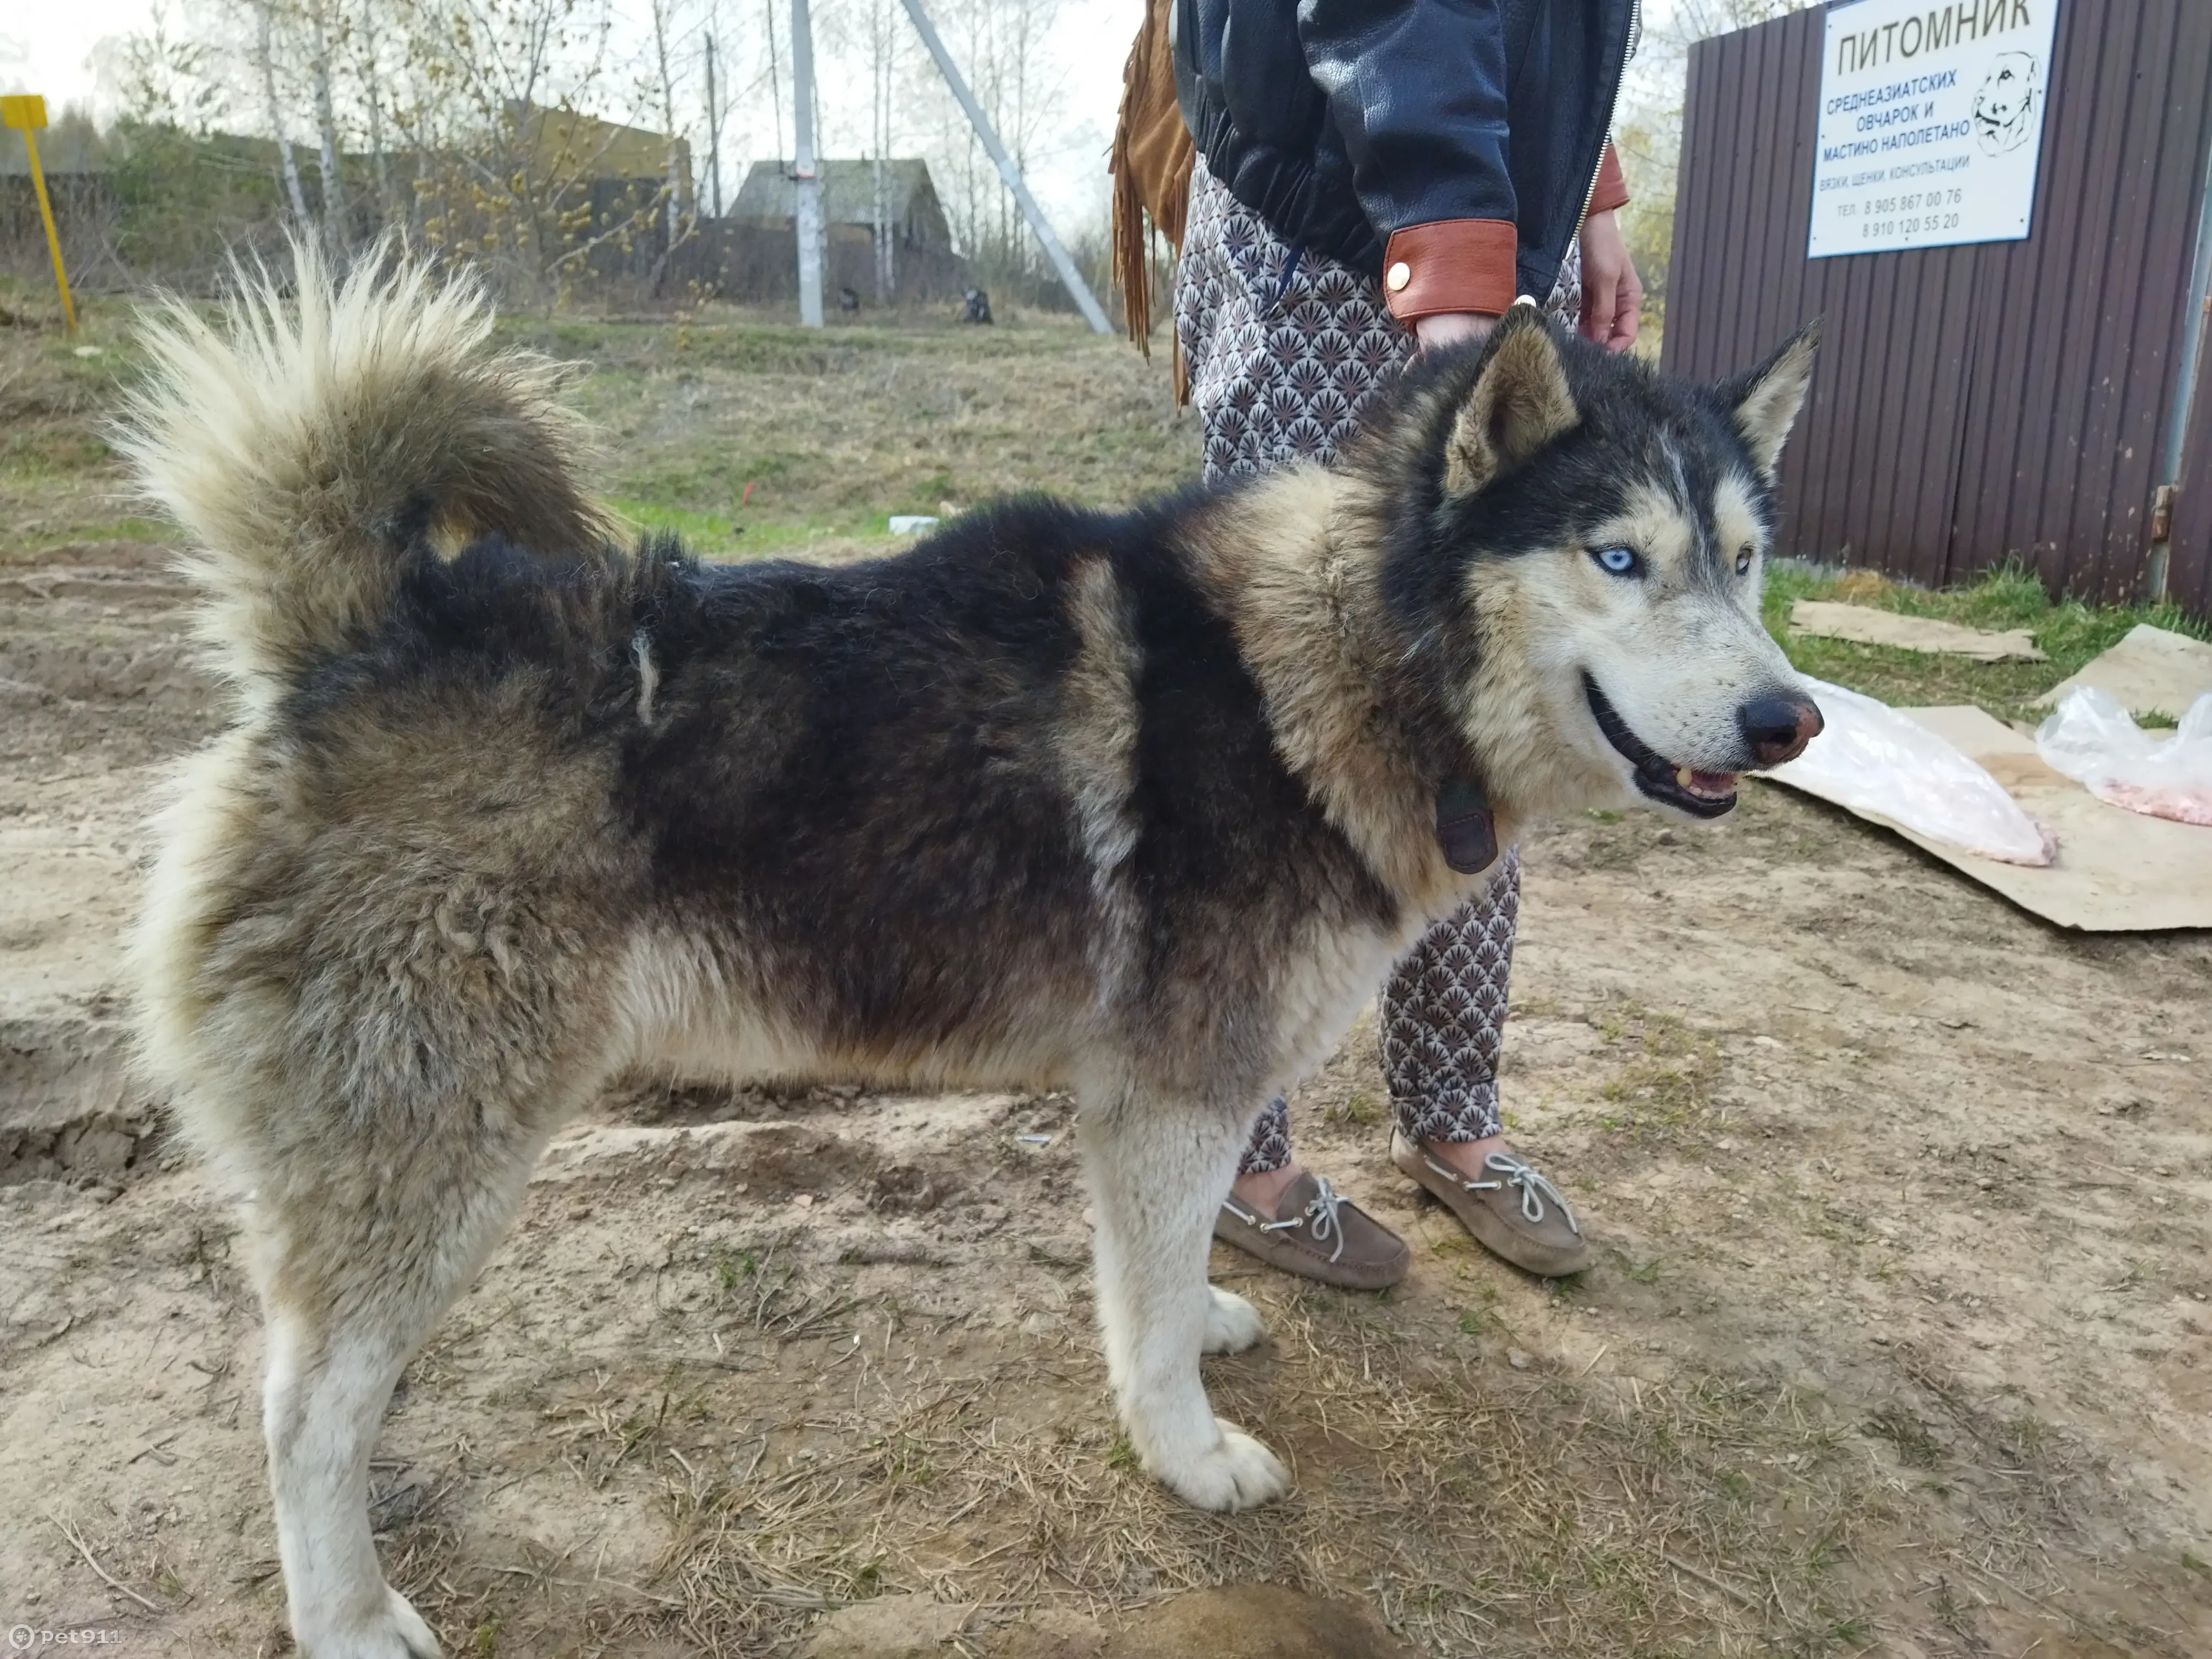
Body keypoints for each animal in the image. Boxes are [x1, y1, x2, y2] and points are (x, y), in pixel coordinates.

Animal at [117, 250, 1814, 1659]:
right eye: (1616, 558)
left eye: (1743, 559)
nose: (1789, 718)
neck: (1332, 657)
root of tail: (351, 633)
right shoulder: (1176, 1093)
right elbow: (1150, 1321)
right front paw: (1191, 1455)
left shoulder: (1160, 1105)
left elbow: (1159, 1277)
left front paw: (1200, 1322)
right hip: (444, 1143)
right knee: (299, 1408)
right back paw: (346, 1615)